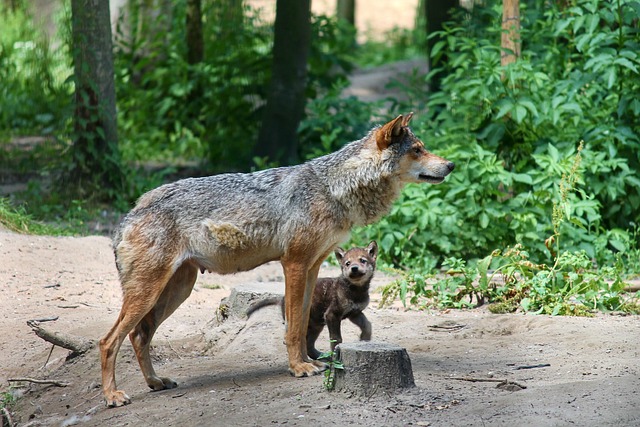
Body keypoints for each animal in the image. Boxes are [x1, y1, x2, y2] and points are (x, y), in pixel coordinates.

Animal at [247, 241, 378, 359]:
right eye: (348, 263)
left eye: (362, 260)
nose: (354, 268)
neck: (356, 291)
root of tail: (282, 298)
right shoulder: (332, 314)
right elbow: (336, 338)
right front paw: (336, 355)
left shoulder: (354, 312)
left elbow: (367, 325)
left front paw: (364, 339)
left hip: (316, 325)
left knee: (308, 345)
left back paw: (323, 357)